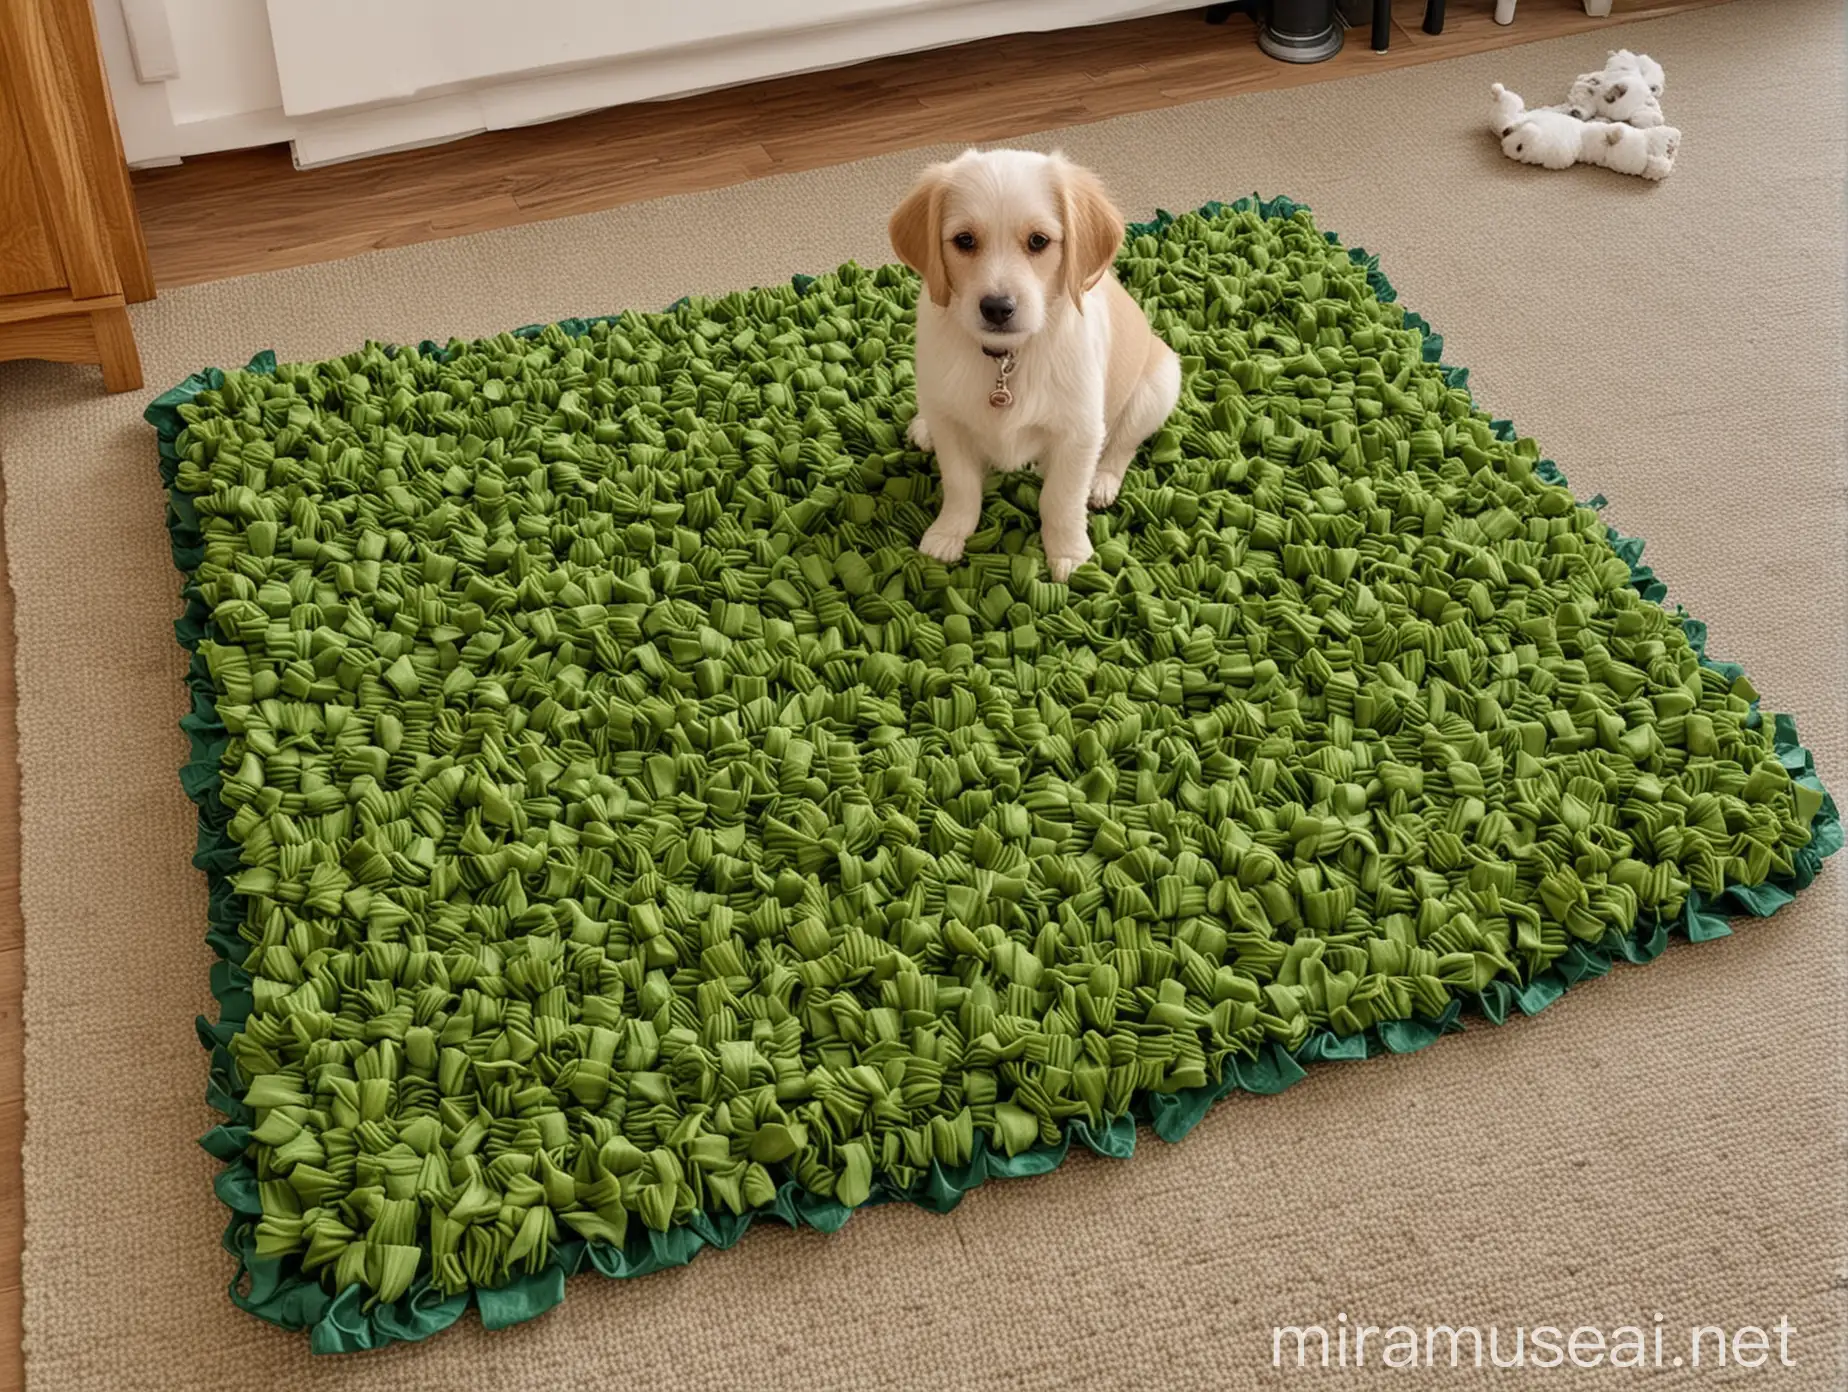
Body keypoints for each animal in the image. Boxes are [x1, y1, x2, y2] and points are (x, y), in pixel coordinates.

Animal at [887, 149, 1175, 584]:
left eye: (1038, 241)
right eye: (964, 240)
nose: (997, 308)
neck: (1007, 358)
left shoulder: (1080, 430)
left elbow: (1060, 499)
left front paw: (1070, 555)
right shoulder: (952, 425)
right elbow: (961, 485)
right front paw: (948, 534)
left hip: (1161, 381)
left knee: (1124, 442)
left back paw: (1102, 482)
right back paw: (923, 428)